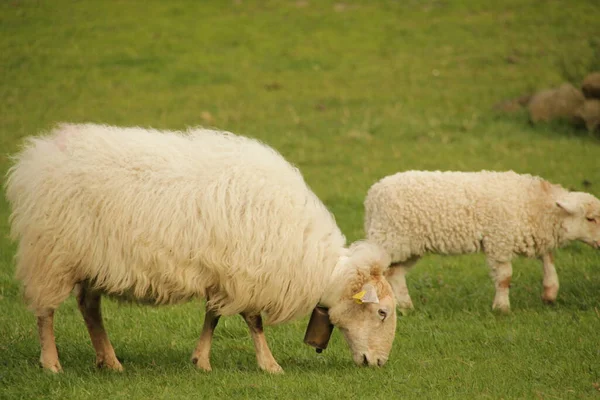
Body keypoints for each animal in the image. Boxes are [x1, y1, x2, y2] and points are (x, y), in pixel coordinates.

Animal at [7, 123, 398, 374]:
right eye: (382, 312)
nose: (379, 363)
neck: (312, 259)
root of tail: (35, 160)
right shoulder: (246, 271)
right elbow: (253, 321)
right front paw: (270, 365)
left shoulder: (223, 273)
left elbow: (213, 317)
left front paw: (202, 362)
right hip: (53, 253)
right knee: (46, 312)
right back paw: (52, 364)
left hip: (93, 259)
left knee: (89, 308)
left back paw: (110, 361)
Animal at [364, 169, 600, 312]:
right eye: (590, 218)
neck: (535, 203)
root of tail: (373, 194)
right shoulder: (499, 241)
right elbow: (505, 278)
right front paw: (502, 308)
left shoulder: (534, 234)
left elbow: (548, 258)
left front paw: (550, 292)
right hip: (389, 238)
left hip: (407, 245)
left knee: (395, 274)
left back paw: (405, 306)